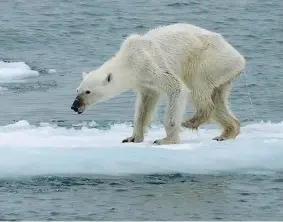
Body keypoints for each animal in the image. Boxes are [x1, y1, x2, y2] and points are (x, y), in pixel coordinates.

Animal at [71, 22, 246, 144]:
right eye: (77, 90)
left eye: (88, 91)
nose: (74, 106)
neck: (130, 60)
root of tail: (239, 58)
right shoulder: (144, 82)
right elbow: (145, 106)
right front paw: (132, 138)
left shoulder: (151, 66)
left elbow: (177, 89)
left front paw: (165, 140)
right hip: (222, 74)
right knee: (218, 100)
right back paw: (226, 133)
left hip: (207, 61)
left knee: (198, 89)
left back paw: (190, 122)